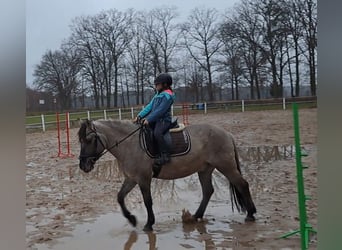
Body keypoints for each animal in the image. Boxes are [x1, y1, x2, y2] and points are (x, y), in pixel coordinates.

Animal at [77, 118, 256, 231]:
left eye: (90, 139)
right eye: (80, 140)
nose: (83, 165)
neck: (129, 144)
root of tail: (227, 134)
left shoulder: (143, 179)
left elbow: (148, 201)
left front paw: (149, 224)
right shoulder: (131, 179)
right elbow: (120, 197)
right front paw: (132, 219)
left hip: (226, 166)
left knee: (242, 184)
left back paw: (250, 214)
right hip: (205, 169)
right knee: (208, 191)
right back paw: (195, 216)